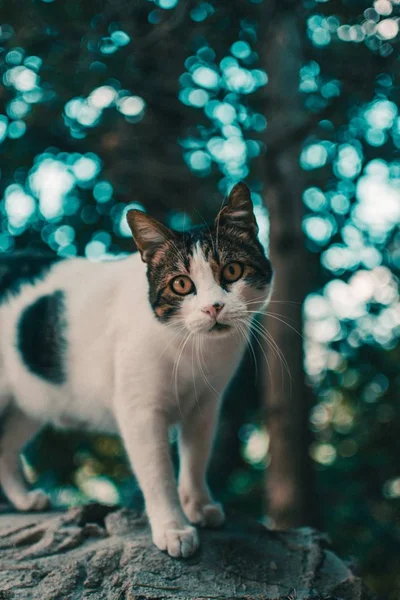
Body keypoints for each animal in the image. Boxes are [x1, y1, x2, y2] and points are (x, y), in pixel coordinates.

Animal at [0, 183, 274, 556]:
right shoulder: (140, 412)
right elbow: (158, 474)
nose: (213, 307)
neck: (193, 351)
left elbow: (196, 459)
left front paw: (199, 505)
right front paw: (174, 528)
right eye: (181, 285)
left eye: (232, 271)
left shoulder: (205, 406)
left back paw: (25, 500)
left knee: (4, 448)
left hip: (31, 402)